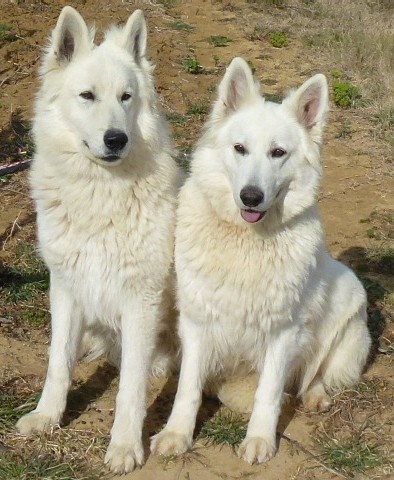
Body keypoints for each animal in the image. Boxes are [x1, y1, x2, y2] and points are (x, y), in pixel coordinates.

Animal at [16, 5, 180, 474]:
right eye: (87, 96)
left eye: (126, 97)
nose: (116, 139)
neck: (100, 192)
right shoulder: (66, 287)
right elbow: (58, 362)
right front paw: (47, 417)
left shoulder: (141, 300)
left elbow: (130, 388)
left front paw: (125, 447)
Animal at [150, 57, 370, 464]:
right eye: (240, 148)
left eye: (278, 153)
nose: (250, 197)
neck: (246, 242)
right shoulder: (196, 322)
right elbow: (187, 388)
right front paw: (177, 434)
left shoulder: (283, 333)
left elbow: (268, 393)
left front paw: (259, 440)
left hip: (348, 301)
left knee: (314, 373)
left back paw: (315, 395)